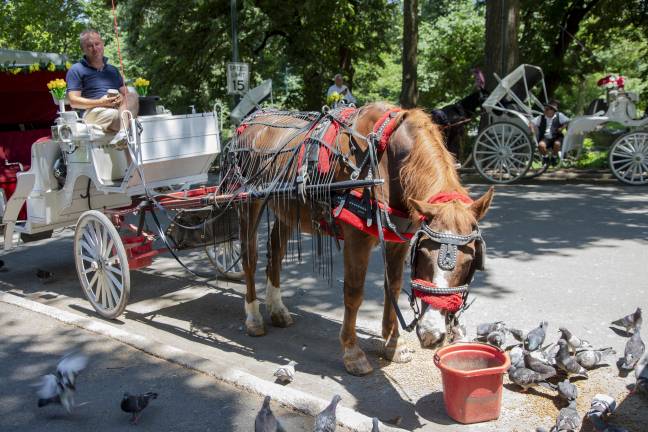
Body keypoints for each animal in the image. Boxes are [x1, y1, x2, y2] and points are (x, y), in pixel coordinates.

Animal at [225, 102, 494, 375]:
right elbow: (354, 294)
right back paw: (253, 317)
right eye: (425, 255)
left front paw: (393, 344)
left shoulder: (398, 242)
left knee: (276, 253)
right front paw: (352, 352)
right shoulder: (357, 239)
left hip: (287, 209)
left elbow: (393, 287)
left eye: (470, 262)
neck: (386, 158)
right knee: (250, 258)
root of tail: (247, 123)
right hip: (248, 204)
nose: (433, 335)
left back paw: (277, 309)